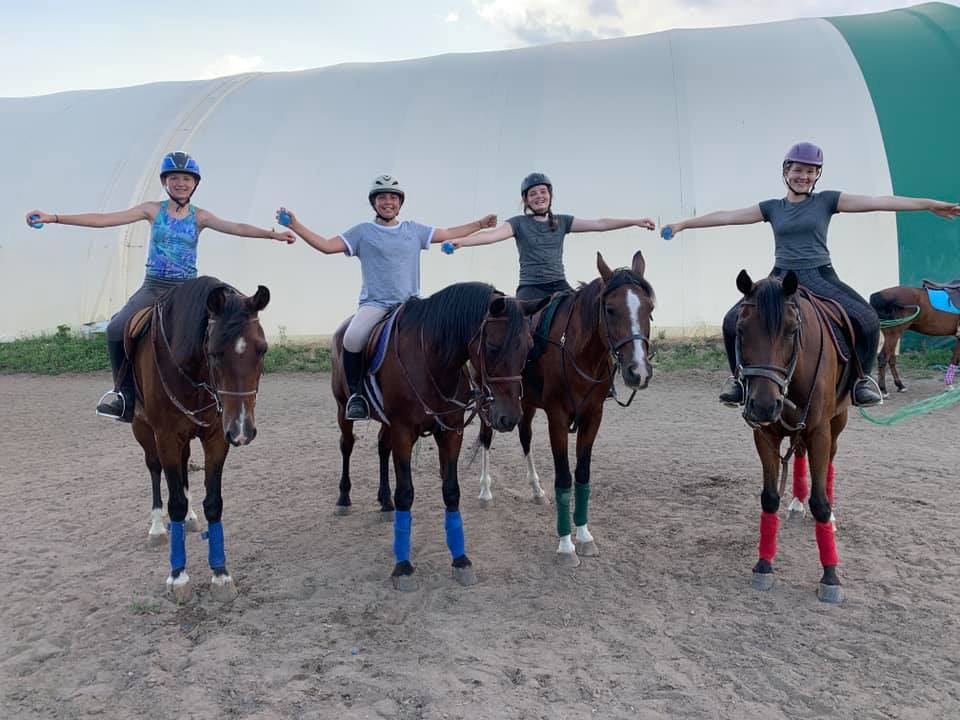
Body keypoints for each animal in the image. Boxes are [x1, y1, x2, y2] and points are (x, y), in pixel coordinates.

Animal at [126, 276, 270, 603]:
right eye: (214, 352)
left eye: (262, 350)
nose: (242, 430)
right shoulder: (166, 437)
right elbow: (175, 502)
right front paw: (178, 576)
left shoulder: (217, 437)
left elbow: (213, 502)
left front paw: (221, 574)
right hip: (143, 430)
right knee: (155, 470)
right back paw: (157, 528)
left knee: (182, 472)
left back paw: (191, 519)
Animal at [331, 282, 547, 590]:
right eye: (492, 347)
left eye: (528, 347)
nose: (510, 418)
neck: (432, 360)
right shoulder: (403, 432)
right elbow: (406, 493)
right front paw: (403, 567)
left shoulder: (450, 432)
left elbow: (451, 491)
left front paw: (461, 560)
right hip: (343, 410)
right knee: (346, 446)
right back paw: (343, 498)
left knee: (382, 449)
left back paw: (385, 502)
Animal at [475, 251, 655, 567]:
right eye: (610, 309)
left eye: (649, 308)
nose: (639, 372)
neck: (576, 351)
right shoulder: (557, 419)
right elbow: (564, 479)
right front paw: (565, 545)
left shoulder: (593, 417)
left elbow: (582, 477)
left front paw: (583, 536)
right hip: (488, 399)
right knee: (486, 438)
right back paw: (485, 492)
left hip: (524, 404)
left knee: (525, 438)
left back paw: (536, 490)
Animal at [734, 269, 850, 603]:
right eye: (741, 329)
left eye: (791, 330)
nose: (763, 404)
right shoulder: (765, 434)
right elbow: (769, 497)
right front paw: (764, 565)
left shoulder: (820, 431)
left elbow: (820, 502)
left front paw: (830, 577)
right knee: (798, 454)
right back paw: (797, 502)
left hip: (837, 422)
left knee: (829, 463)